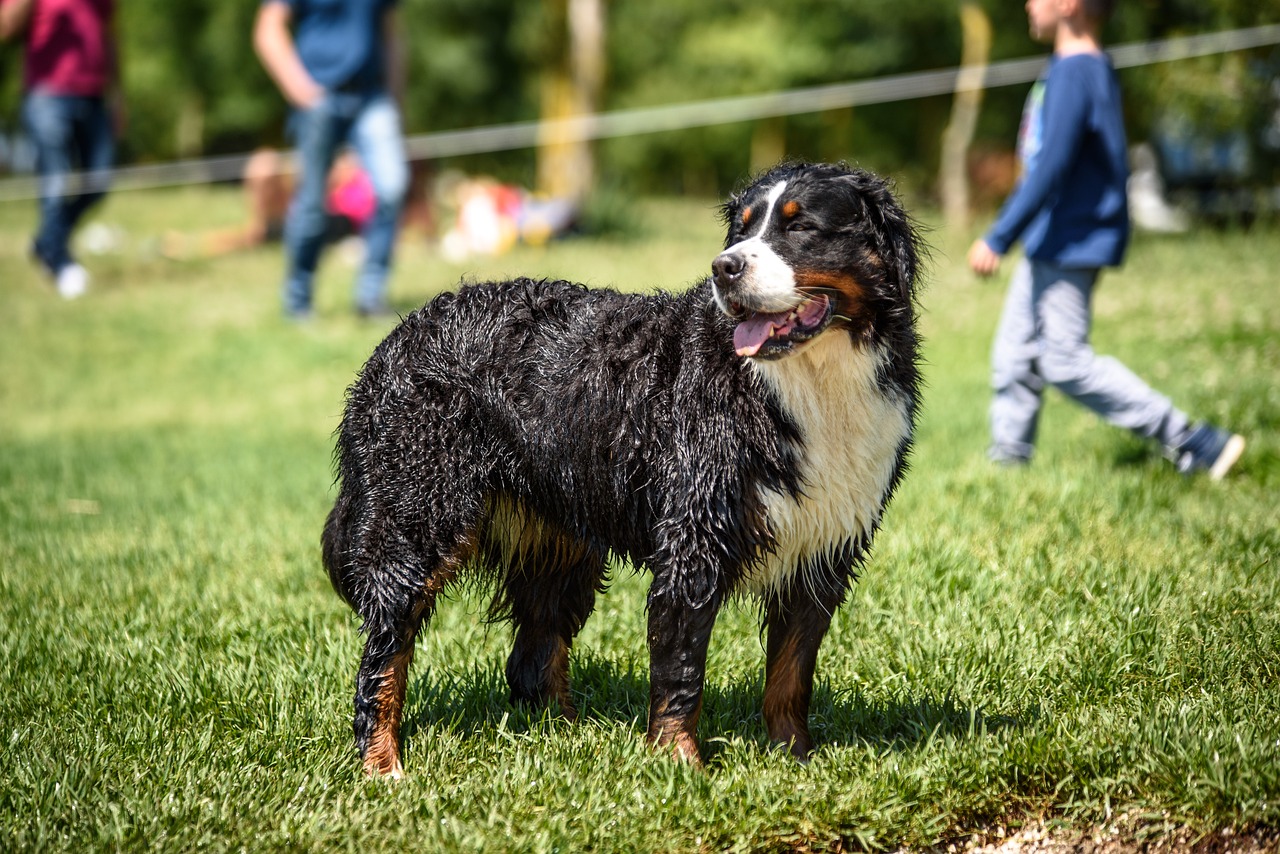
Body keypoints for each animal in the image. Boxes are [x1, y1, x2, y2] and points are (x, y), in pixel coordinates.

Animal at [320, 158, 921, 773]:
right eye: (742, 230)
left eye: (801, 227)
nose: (724, 267)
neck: (811, 380)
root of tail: (399, 334)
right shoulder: (693, 540)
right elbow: (681, 669)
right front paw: (679, 763)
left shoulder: (822, 548)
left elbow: (791, 672)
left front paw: (793, 757)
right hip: (417, 519)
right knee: (384, 655)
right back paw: (381, 763)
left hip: (558, 546)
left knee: (533, 656)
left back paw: (569, 739)